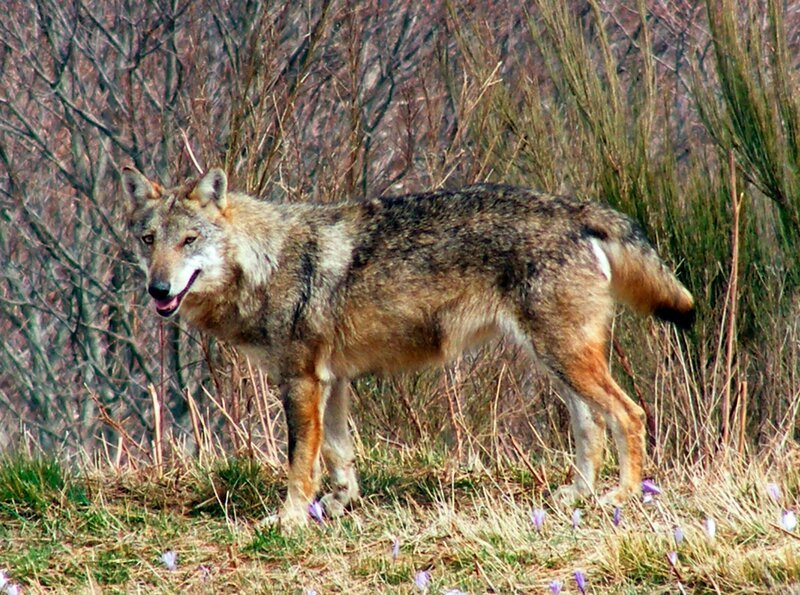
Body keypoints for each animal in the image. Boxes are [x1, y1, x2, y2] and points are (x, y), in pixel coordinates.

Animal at [122, 166, 694, 530]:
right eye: (149, 240)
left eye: (189, 241)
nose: (158, 289)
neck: (266, 261)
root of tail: (571, 207)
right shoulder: (333, 381)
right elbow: (338, 453)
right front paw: (337, 504)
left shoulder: (301, 381)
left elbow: (299, 460)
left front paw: (289, 518)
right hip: (555, 362)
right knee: (591, 424)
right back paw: (577, 494)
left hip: (567, 359)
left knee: (630, 413)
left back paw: (621, 497)